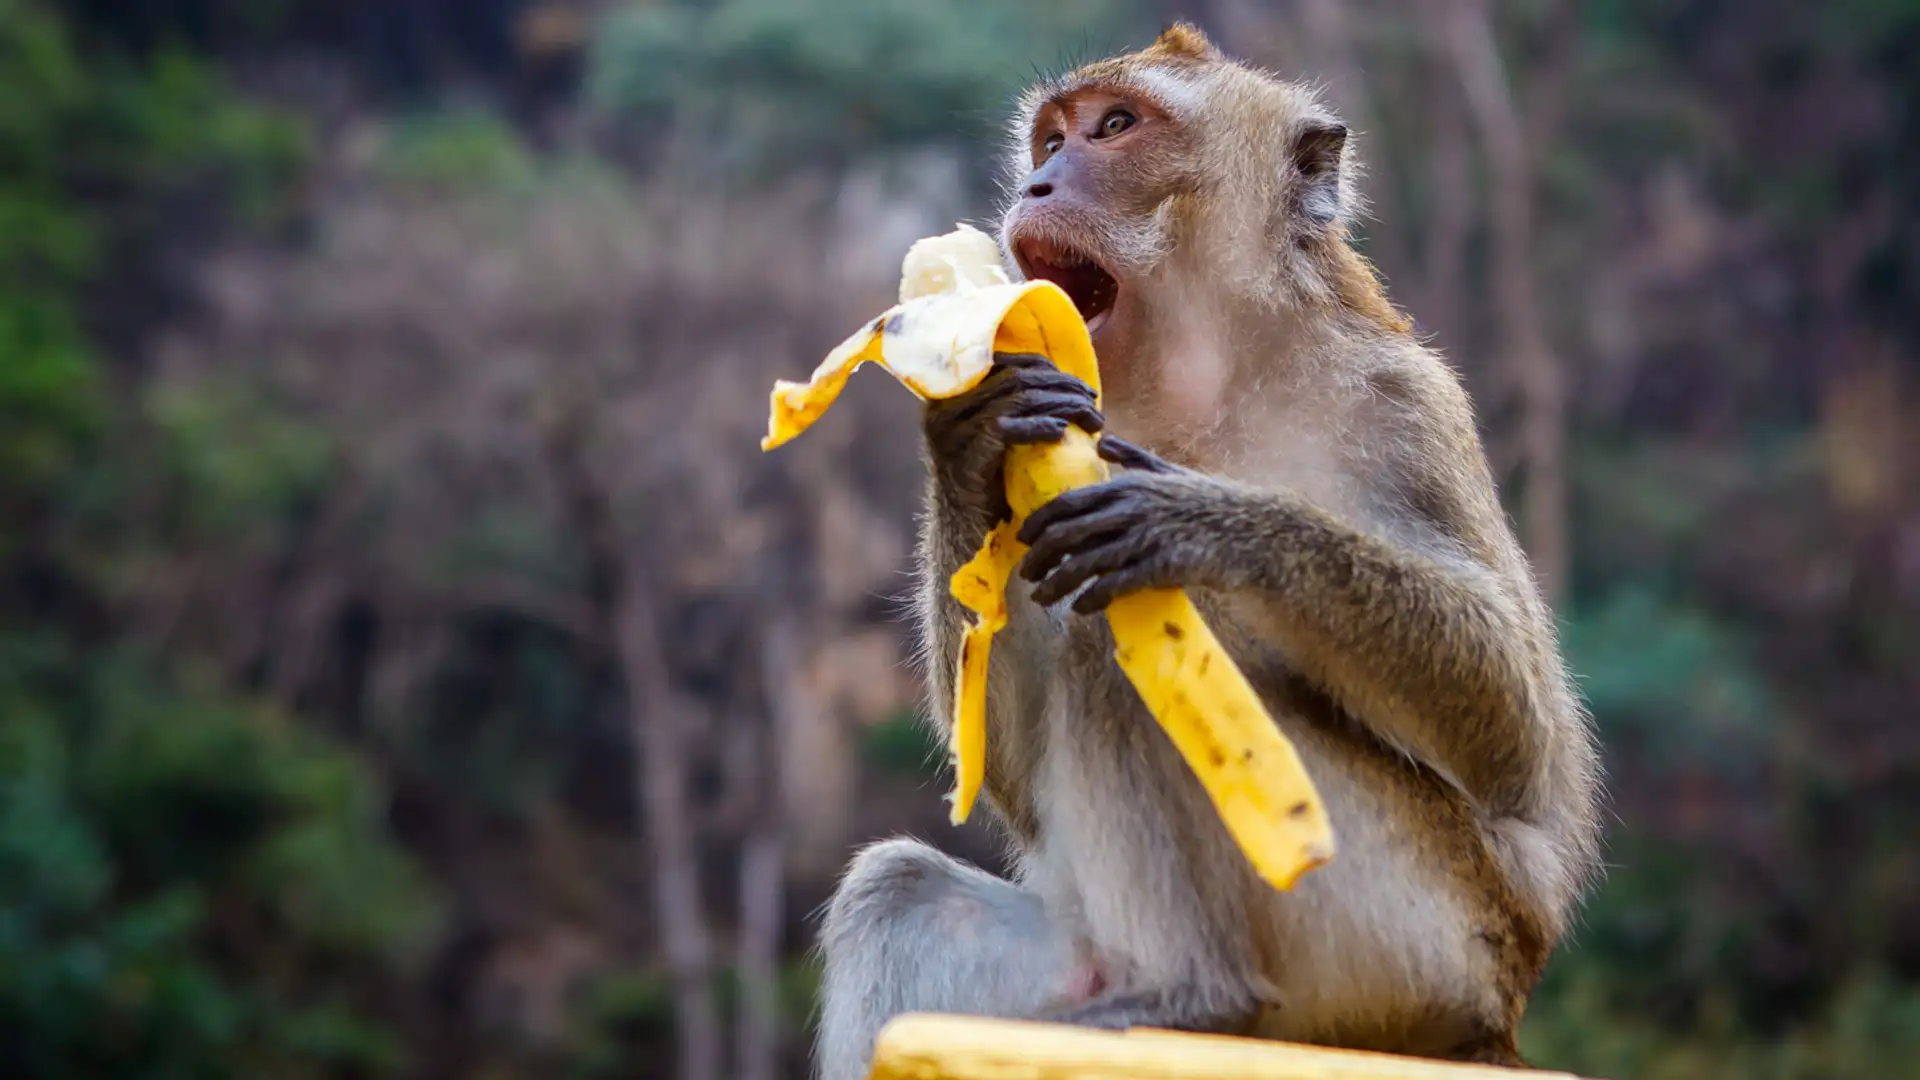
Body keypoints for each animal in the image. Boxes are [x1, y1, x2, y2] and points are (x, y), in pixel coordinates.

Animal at [815, 23, 1603, 1078]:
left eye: (1115, 128)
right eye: (1051, 138)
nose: (1038, 184)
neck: (1207, 379)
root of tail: (1491, 1029)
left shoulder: (1404, 405)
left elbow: (1520, 745)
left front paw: (1199, 522)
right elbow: (1009, 779)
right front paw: (970, 429)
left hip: (1409, 940)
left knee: (1121, 647)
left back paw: (1200, 994)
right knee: (898, 888)